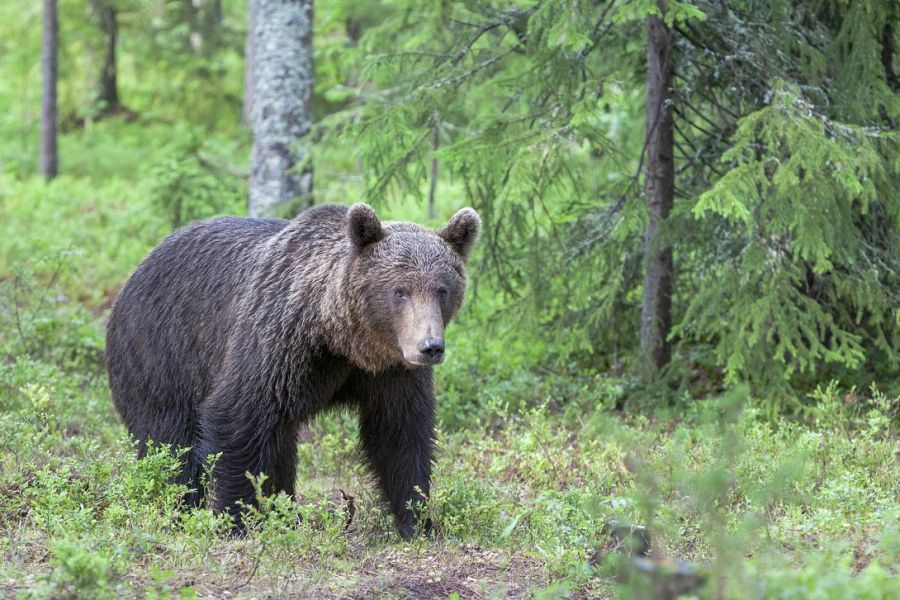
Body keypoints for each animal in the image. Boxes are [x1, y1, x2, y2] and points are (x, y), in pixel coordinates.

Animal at [105, 204, 482, 536]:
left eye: (442, 290)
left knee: (280, 444)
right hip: (162, 356)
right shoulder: (277, 344)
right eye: (399, 291)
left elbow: (399, 435)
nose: (430, 347)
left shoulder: (391, 372)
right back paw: (180, 508)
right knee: (171, 444)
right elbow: (239, 418)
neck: (342, 341)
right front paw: (237, 519)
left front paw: (417, 521)